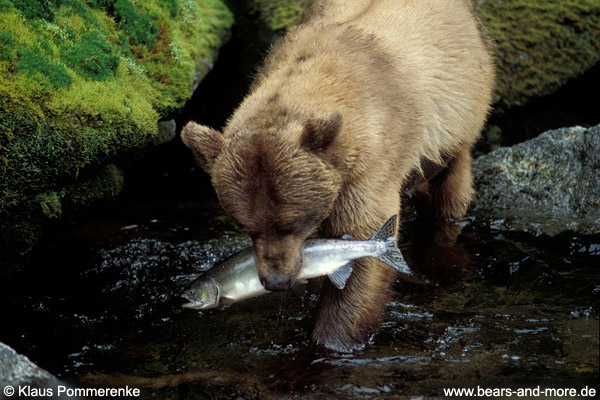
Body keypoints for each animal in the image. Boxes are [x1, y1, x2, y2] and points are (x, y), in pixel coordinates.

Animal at [180, 0, 494, 350]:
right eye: (247, 228)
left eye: (291, 223)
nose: (276, 280)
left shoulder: (368, 167)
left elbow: (362, 252)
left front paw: (330, 341)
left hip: (457, 126)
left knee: (448, 198)